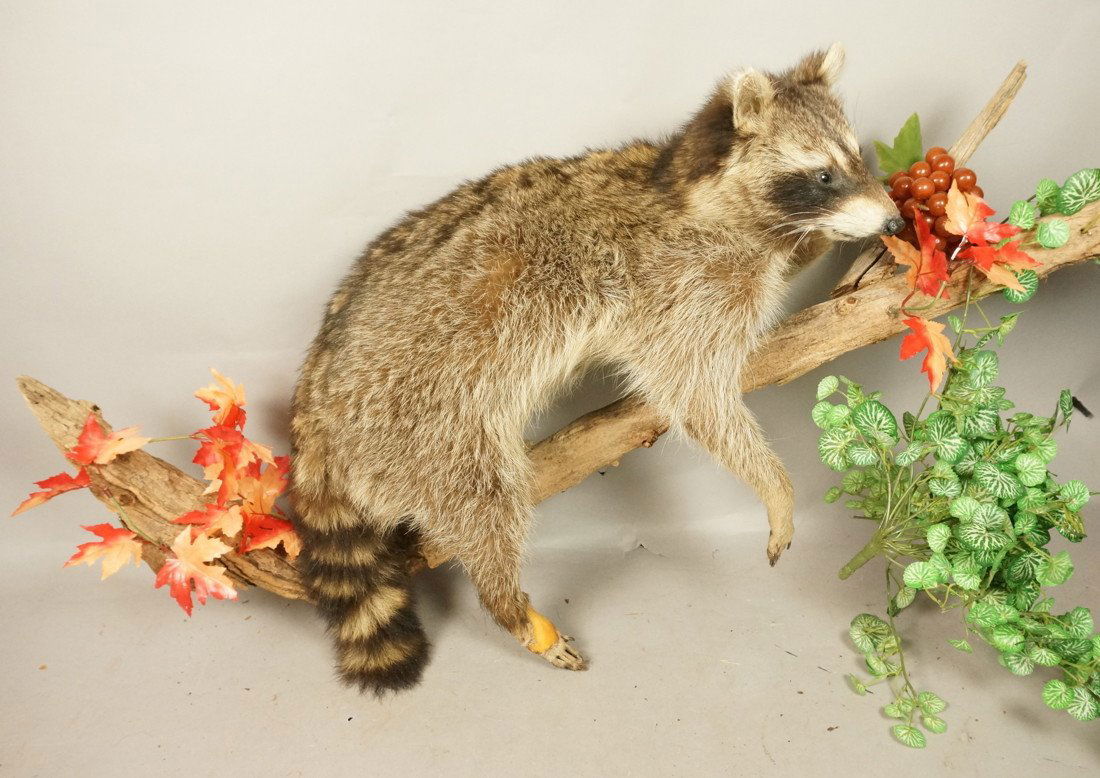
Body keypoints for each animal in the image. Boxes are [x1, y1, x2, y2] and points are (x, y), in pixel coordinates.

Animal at [289, 43, 902, 694]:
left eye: (857, 156)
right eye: (823, 175)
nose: (892, 222)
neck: (689, 187)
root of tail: (317, 397)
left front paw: (819, 241)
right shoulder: (683, 283)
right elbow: (696, 395)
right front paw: (773, 482)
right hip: (419, 413)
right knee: (482, 496)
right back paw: (508, 605)